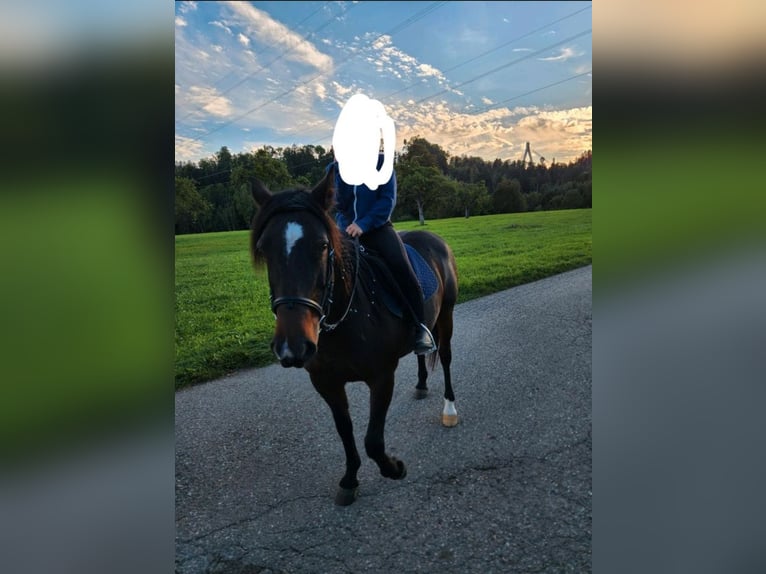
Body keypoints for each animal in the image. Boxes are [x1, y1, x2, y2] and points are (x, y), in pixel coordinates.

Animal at [249, 165, 459, 505]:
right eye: (264, 250)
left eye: (322, 245)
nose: (293, 346)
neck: (341, 321)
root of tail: (433, 238)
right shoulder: (325, 382)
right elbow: (345, 430)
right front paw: (350, 479)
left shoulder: (381, 377)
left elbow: (372, 439)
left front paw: (394, 468)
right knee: (421, 353)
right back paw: (420, 385)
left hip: (447, 316)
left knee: (447, 358)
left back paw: (450, 409)